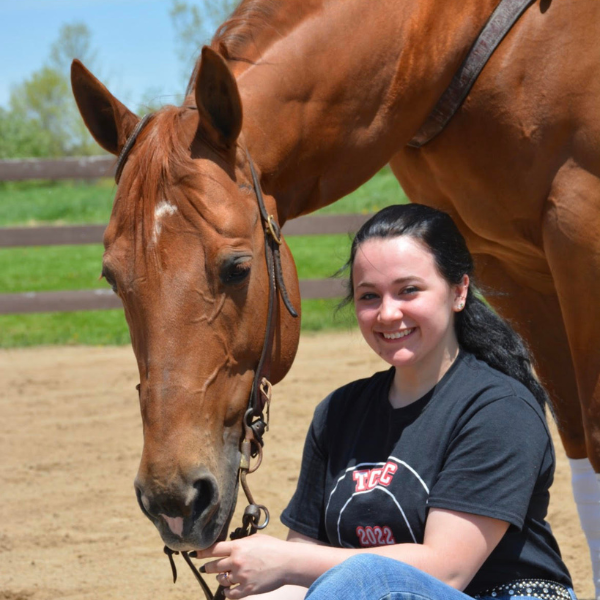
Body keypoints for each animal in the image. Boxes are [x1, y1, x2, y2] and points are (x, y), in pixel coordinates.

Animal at [71, 0, 600, 592]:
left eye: (237, 268)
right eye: (112, 278)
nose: (173, 499)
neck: (452, 36)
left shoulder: (581, 244)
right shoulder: (516, 270)